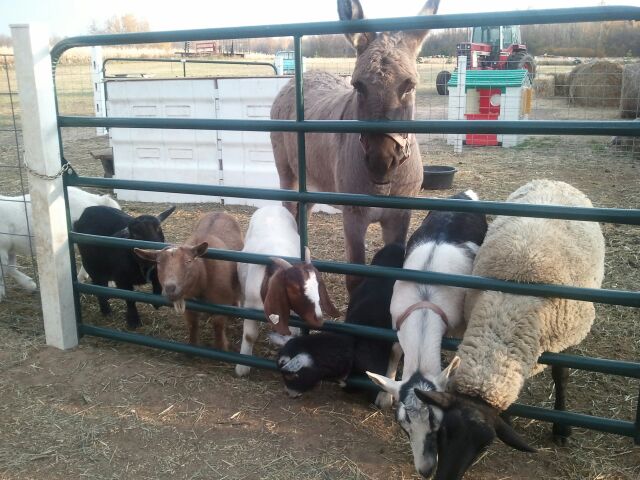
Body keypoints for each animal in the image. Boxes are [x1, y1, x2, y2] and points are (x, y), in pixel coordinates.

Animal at [136, 213, 244, 348]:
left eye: (188, 261)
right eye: (158, 263)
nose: (170, 288)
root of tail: (219, 212)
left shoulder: (221, 303)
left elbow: (218, 325)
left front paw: (221, 346)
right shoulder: (189, 304)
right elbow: (192, 324)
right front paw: (192, 344)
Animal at [368, 189, 488, 478]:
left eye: (438, 426)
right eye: (404, 425)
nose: (425, 469)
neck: (424, 302)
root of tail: (465, 193)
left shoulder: (459, 323)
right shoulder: (396, 319)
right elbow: (395, 350)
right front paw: (384, 396)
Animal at [416, 180, 604, 480]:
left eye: (485, 445)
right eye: (442, 431)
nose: (445, 477)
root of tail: (553, 179)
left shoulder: (567, 338)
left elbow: (561, 375)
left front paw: (562, 429)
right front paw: (509, 417)